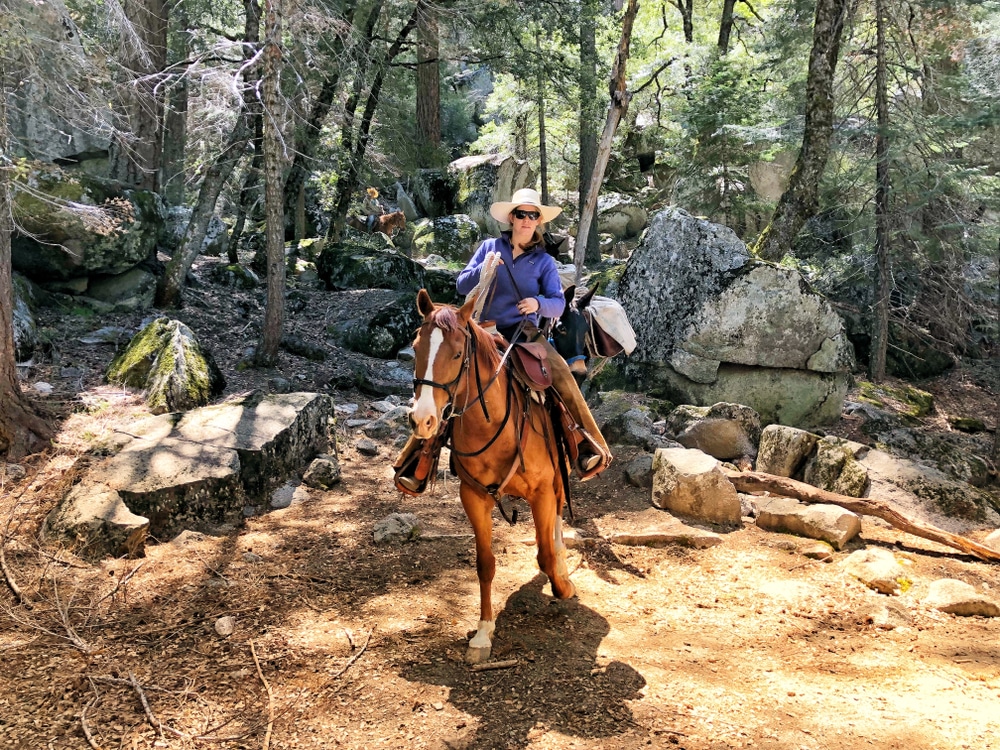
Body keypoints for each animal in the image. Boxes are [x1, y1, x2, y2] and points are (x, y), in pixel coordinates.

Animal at [408, 288, 580, 664]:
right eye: (415, 347)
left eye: (458, 353)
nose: (423, 420)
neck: (493, 425)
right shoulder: (473, 496)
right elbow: (485, 563)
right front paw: (484, 632)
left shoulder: (542, 491)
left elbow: (545, 554)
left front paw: (562, 586)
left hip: (559, 473)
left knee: (559, 516)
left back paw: (562, 562)